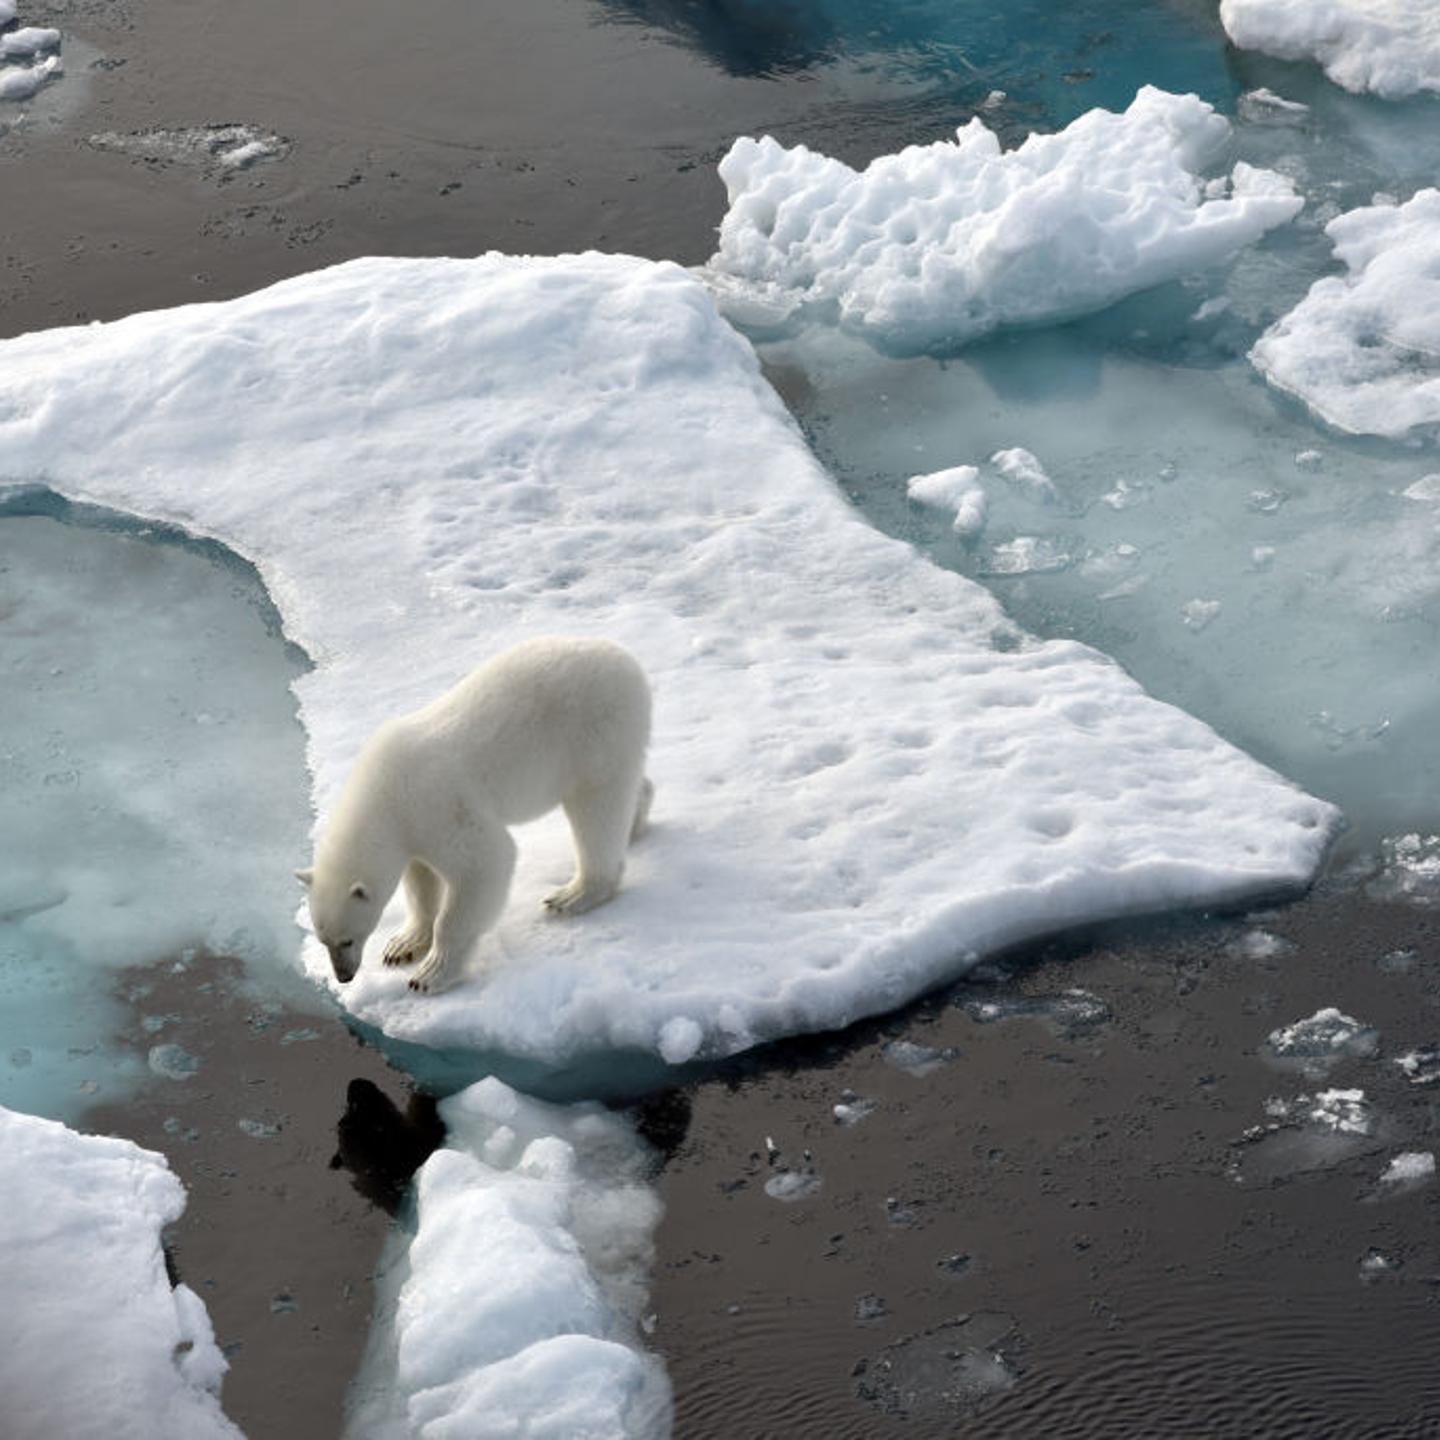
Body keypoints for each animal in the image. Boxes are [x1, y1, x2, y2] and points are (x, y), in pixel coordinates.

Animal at [297, 635, 653, 993]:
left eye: (347, 939)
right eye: (323, 939)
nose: (344, 976)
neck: (384, 792)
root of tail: (626, 660)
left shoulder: (437, 804)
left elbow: (484, 862)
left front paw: (429, 974)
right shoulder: (411, 828)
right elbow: (421, 881)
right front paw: (402, 945)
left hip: (595, 729)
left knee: (597, 808)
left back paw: (574, 893)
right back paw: (635, 821)